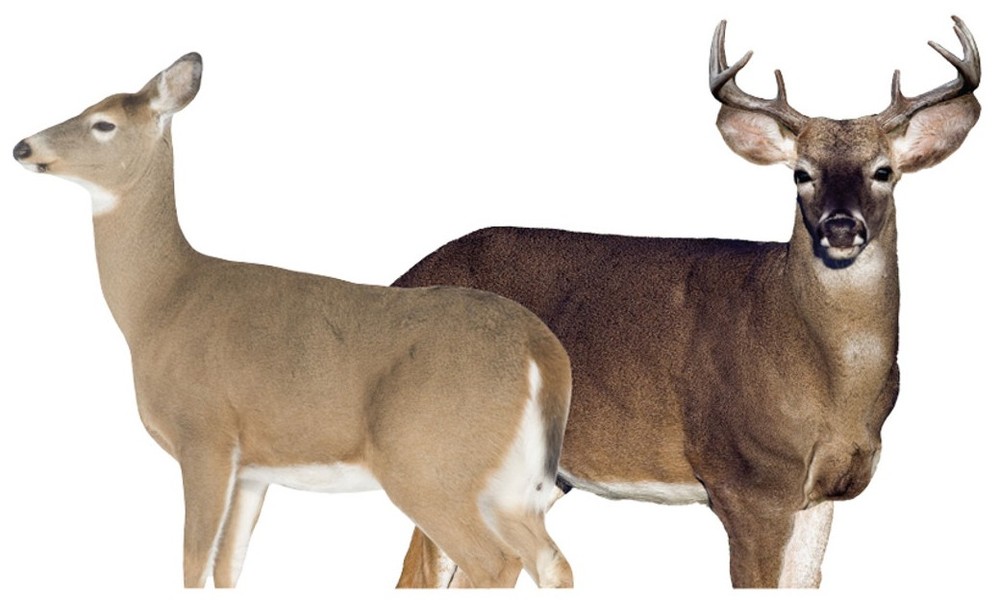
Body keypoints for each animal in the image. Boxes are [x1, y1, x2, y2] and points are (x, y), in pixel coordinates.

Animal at [12, 52, 575, 589]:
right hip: (510, 484)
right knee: (551, 562)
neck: (161, 303)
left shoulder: (205, 434)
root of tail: (542, 350)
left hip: (429, 463)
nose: (21, 147)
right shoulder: (252, 469)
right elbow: (228, 568)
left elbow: (193, 565)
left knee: (494, 563)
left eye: (102, 123)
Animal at [391, 16, 981, 588]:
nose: (840, 227)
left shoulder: (824, 491)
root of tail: (399, 279)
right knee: (420, 575)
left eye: (883, 171)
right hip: (446, 441)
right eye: (801, 173)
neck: (829, 383)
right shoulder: (746, 481)